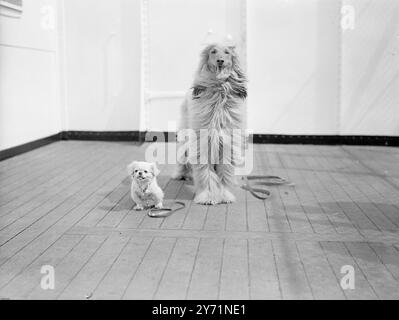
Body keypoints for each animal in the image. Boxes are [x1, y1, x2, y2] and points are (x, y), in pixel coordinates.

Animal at [175, 43, 247, 205]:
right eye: (213, 52)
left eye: (227, 52)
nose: (220, 61)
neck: (219, 92)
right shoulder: (204, 142)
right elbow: (205, 172)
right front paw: (207, 196)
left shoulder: (227, 143)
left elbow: (225, 170)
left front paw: (225, 194)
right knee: (183, 155)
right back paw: (181, 174)